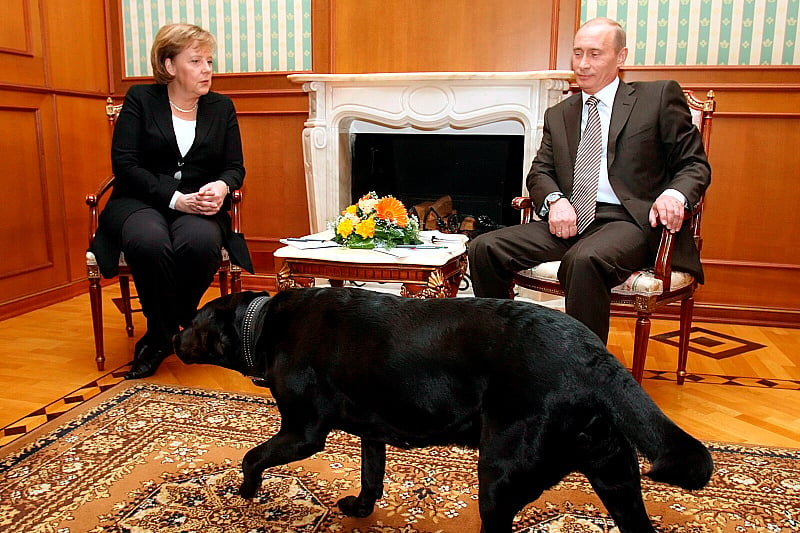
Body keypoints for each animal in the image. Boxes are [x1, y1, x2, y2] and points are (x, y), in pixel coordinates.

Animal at [175, 288, 712, 528]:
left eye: (192, 322)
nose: (173, 339)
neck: (263, 323)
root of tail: (594, 355)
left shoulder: (303, 432)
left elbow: (252, 456)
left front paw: (246, 491)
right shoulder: (372, 431)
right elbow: (371, 476)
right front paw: (362, 509)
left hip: (499, 476)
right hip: (615, 474)